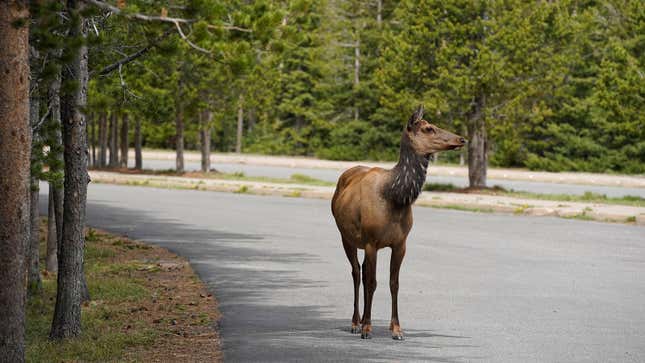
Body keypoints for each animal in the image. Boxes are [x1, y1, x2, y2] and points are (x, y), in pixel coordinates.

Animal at [332, 105, 462, 342]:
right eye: (428, 128)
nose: (461, 138)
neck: (395, 197)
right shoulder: (372, 241)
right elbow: (373, 282)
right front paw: (367, 328)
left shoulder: (401, 243)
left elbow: (394, 283)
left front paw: (396, 329)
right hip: (346, 237)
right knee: (357, 272)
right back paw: (356, 323)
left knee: (363, 271)